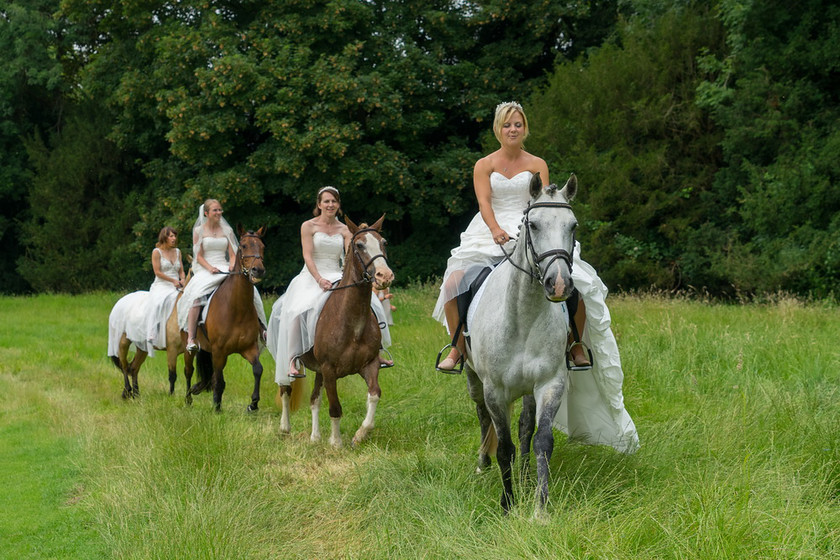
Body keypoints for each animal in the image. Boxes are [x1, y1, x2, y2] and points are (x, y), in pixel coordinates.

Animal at [183, 225, 266, 414]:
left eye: (262, 246)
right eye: (243, 246)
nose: (258, 270)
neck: (237, 308)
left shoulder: (248, 348)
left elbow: (258, 369)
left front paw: (253, 404)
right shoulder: (219, 350)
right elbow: (219, 380)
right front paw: (217, 408)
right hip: (190, 349)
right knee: (188, 371)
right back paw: (188, 399)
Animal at [276, 214, 394, 446]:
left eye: (383, 243)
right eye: (359, 245)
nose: (385, 276)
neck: (352, 322)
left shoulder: (369, 365)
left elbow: (374, 394)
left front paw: (360, 434)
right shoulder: (330, 370)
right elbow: (335, 408)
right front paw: (336, 442)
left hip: (319, 370)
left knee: (314, 399)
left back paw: (315, 437)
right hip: (288, 359)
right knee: (286, 390)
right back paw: (285, 428)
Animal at [466, 173, 576, 520]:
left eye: (573, 226)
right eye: (534, 225)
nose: (559, 284)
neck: (523, 318)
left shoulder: (550, 384)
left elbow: (541, 440)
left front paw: (540, 508)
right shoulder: (495, 391)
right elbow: (503, 446)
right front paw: (507, 504)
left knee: (525, 427)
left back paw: (526, 476)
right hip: (473, 379)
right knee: (482, 418)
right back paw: (483, 463)